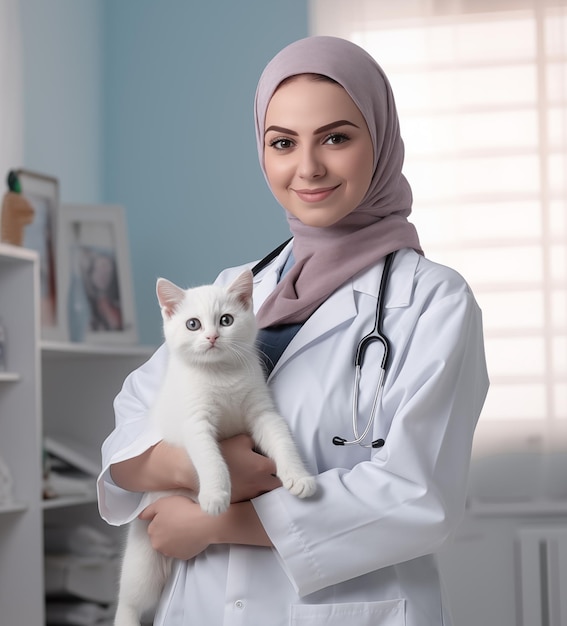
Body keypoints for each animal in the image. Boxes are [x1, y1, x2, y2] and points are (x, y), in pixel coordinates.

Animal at [113, 270, 318, 624]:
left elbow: (281, 439)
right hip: (144, 556)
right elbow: (210, 458)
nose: (211, 337)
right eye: (193, 324)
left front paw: (298, 477)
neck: (221, 374)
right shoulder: (195, 421)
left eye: (226, 320)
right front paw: (215, 495)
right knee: (131, 599)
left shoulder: (262, 412)